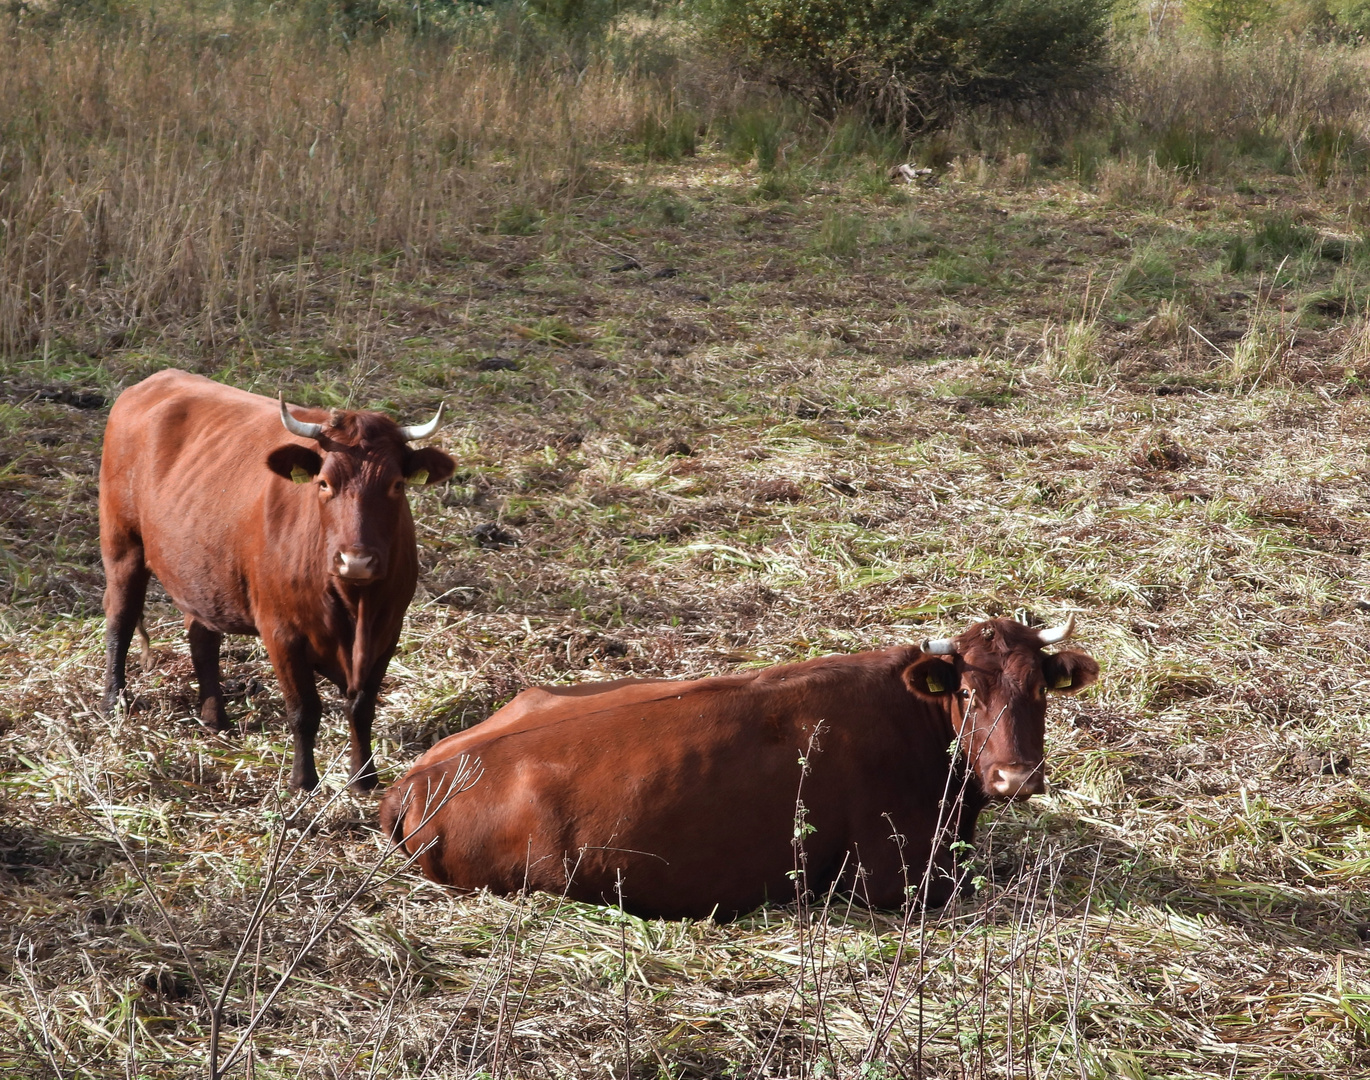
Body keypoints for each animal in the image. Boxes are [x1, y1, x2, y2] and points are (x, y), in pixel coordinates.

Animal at [99, 370, 460, 794]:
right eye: (324, 483)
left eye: (396, 485)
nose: (356, 561)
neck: (353, 604)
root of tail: (157, 380)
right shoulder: (281, 632)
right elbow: (304, 708)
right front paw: (303, 781)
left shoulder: (388, 630)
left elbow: (362, 707)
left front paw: (363, 777)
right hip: (122, 545)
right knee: (120, 621)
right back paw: (113, 703)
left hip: (202, 573)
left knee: (202, 638)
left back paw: (214, 717)